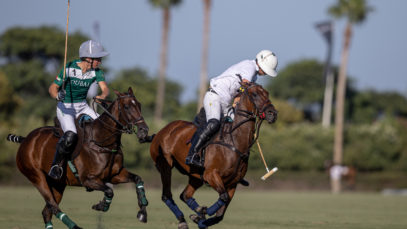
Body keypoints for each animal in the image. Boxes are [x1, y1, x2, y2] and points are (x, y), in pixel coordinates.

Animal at [6, 87, 150, 229]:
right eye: (126, 107)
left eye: (139, 105)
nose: (144, 130)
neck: (102, 142)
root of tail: (26, 140)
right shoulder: (87, 179)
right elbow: (109, 191)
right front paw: (101, 205)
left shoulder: (115, 175)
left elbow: (137, 179)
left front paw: (142, 212)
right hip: (36, 177)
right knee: (53, 207)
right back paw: (76, 227)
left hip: (58, 184)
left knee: (47, 211)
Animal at [151, 81, 278, 228]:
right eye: (255, 94)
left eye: (267, 93)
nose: (272, 113)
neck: (234, 141)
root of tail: (160, 132)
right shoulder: (211, 175)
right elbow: (223, 198)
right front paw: (202, 214)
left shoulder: (232, 183)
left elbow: (220, 213)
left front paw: (200, 219)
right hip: (165, 166)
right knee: (167, 195)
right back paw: (183, 220)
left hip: (195, 176)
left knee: (185, 195)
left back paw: (195, 212)